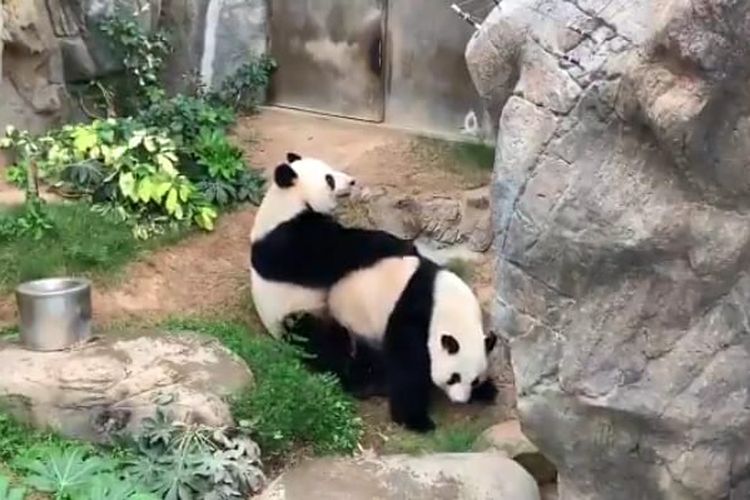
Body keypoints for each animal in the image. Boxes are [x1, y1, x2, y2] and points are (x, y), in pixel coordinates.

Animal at [251, 152, 418, 340]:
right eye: (329, 179)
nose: (352, 181)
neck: (288, 201)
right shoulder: (292, 241)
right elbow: (340, 251)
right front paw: (401, 245)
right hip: (293, 316)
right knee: (315, 333)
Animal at [292, 254, 500, 434]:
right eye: (453, 377)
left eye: (474, 380)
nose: (460, 401)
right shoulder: (413, 316)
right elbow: (408, 366)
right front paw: (416, 420)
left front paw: (487, 390)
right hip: (354, 321)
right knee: (342, 351)